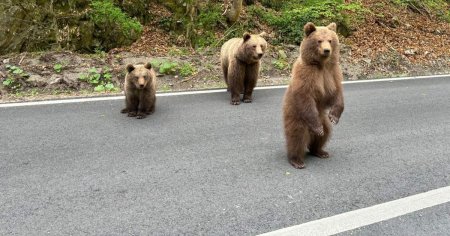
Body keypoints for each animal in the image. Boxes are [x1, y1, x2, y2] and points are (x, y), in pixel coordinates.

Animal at [284, 22, 346, 169]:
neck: (321, 65)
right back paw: (297, 160)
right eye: (319, 41)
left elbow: (336, 93)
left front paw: (334, 117)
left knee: (326, 133)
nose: (327, 50)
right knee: (297, 136)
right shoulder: (307, 74)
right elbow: (305, 96)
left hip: (322, 117)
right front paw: (318, 128)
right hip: (297, 116)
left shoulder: (332, 73)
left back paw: (320, 151)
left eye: (330, 40)